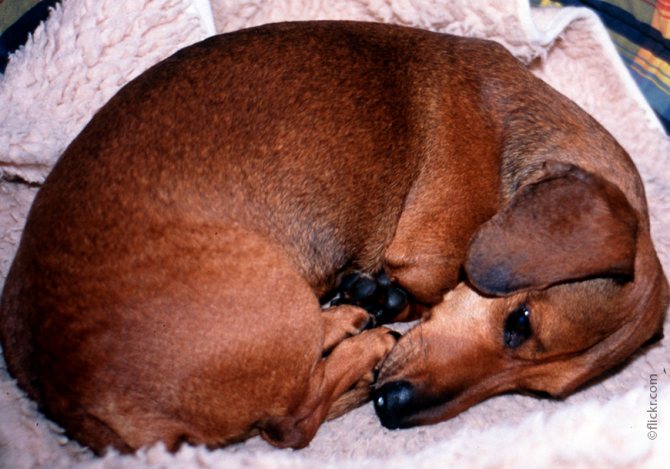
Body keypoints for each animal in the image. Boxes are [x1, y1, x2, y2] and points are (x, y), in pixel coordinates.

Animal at [0, 22, 668, 454]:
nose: (394, 410)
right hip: (272, 294)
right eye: (520, 322)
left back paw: (352, 315)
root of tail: (76, 399)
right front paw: (384, 308)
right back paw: (360, 334)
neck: (515, 131)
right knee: (293, 421)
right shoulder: (427, 259)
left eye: (533, 393)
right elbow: (424, 286)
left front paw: (377, 300)